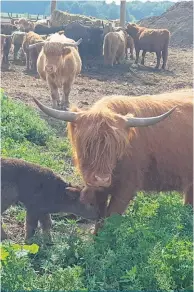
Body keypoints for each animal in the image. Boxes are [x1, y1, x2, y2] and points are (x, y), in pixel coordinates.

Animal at [32, 88, 192, 233]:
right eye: (87, 145)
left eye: (117, 148)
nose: (101, 179)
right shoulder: (97, 189)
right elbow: (100, 215)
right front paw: (96, 237)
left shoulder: (126, 187)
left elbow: (112, 216)